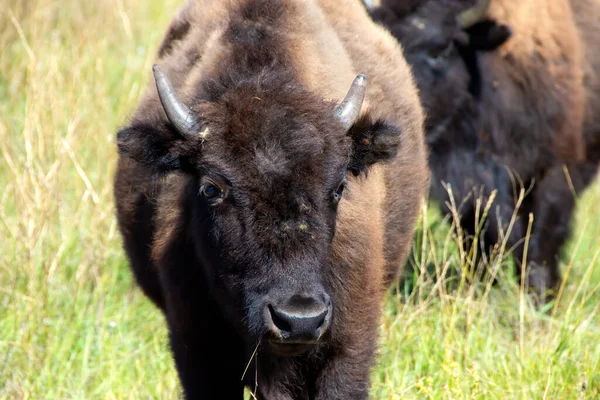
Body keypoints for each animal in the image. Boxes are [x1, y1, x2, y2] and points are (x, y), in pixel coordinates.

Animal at [368, 0, 600, 302]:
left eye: (440, 50)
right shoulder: (466, 190)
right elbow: (479, 238)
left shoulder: (555, 173)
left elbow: (541, 241)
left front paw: (540, 297)